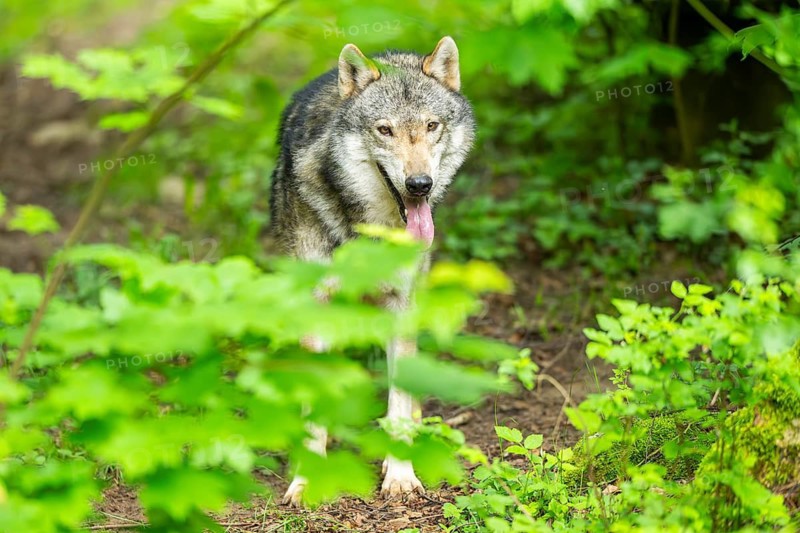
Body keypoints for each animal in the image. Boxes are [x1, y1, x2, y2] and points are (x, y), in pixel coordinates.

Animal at [269, 36, 476, 505]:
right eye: (385, 130)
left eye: (431, 126)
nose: (420, 185)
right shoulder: (317, 307)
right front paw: (306, 481)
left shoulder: (400, 304)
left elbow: (398, 400)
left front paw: (400, 475)